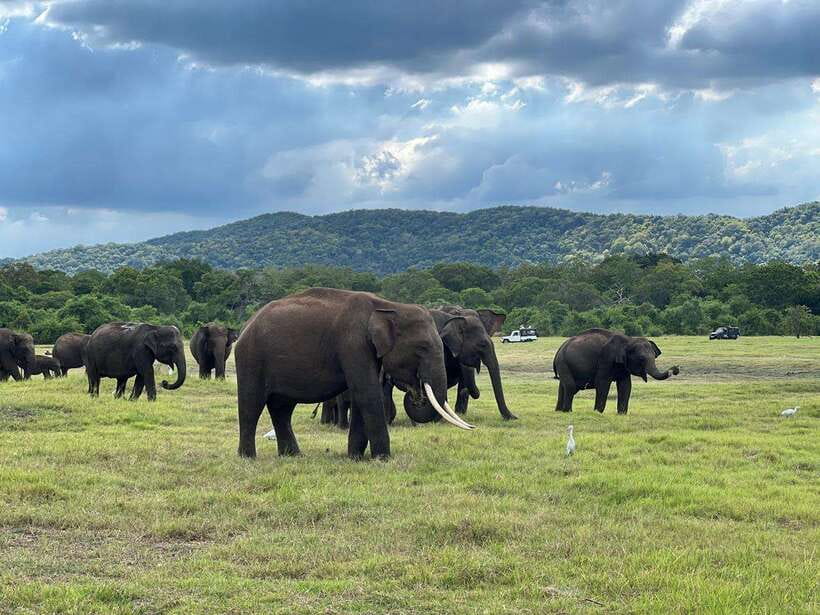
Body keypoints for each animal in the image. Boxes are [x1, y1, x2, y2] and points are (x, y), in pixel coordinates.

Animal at [234, 287, 473, 460]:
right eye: (422, 348)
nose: (416, 393)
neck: (387, 306)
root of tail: (246, 324)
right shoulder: (353, 345)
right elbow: (367, 392)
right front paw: (382, 458)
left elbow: (361, 396)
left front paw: (355, 457)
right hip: (250, 358)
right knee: (252, 404)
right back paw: (248, 457)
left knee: (282, 408)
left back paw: (293, 456)